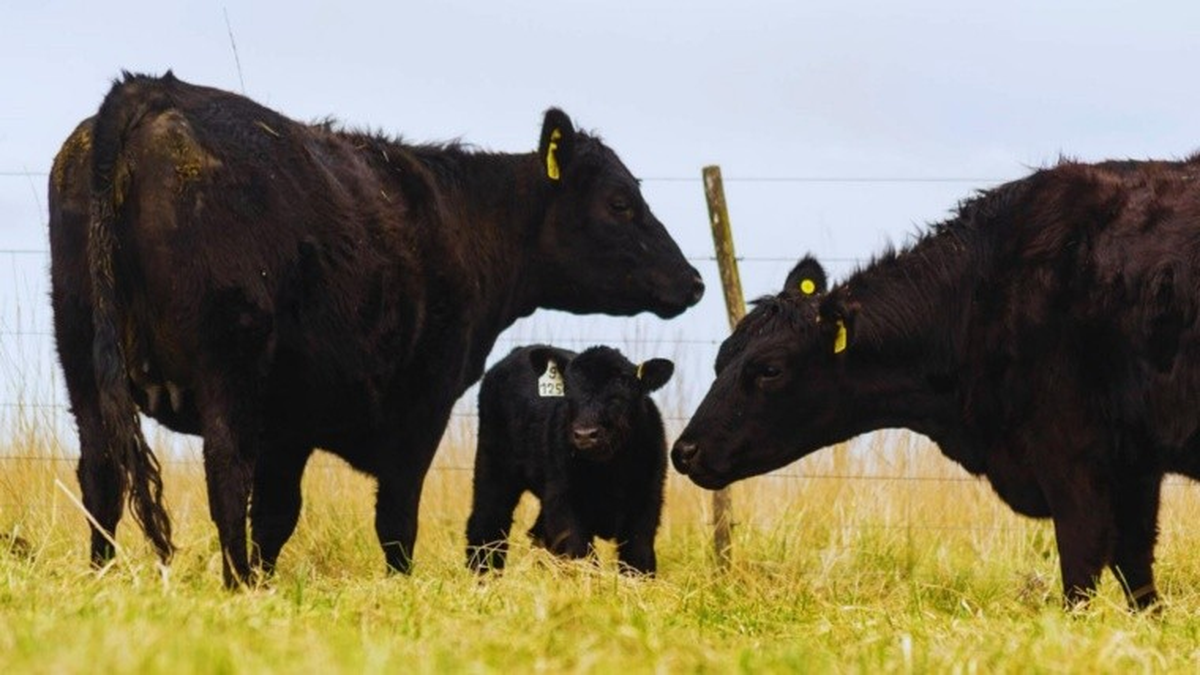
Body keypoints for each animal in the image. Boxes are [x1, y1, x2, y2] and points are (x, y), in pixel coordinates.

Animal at [465, 345, 676, 571]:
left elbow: (637, 557)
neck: (608, 470)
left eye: (621, 390)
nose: (585, 434)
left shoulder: (647, 501)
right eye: (568, 392)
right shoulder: (565, 502)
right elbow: (579, 554)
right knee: (487, 522)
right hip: (493, 465)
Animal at [672, 158, 1200, 610]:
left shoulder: (1071, 454)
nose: (684, 451)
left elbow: (1082, 568)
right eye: (721, 358)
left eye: (769, 369)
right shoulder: (1134, 462)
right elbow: (1136, 571)